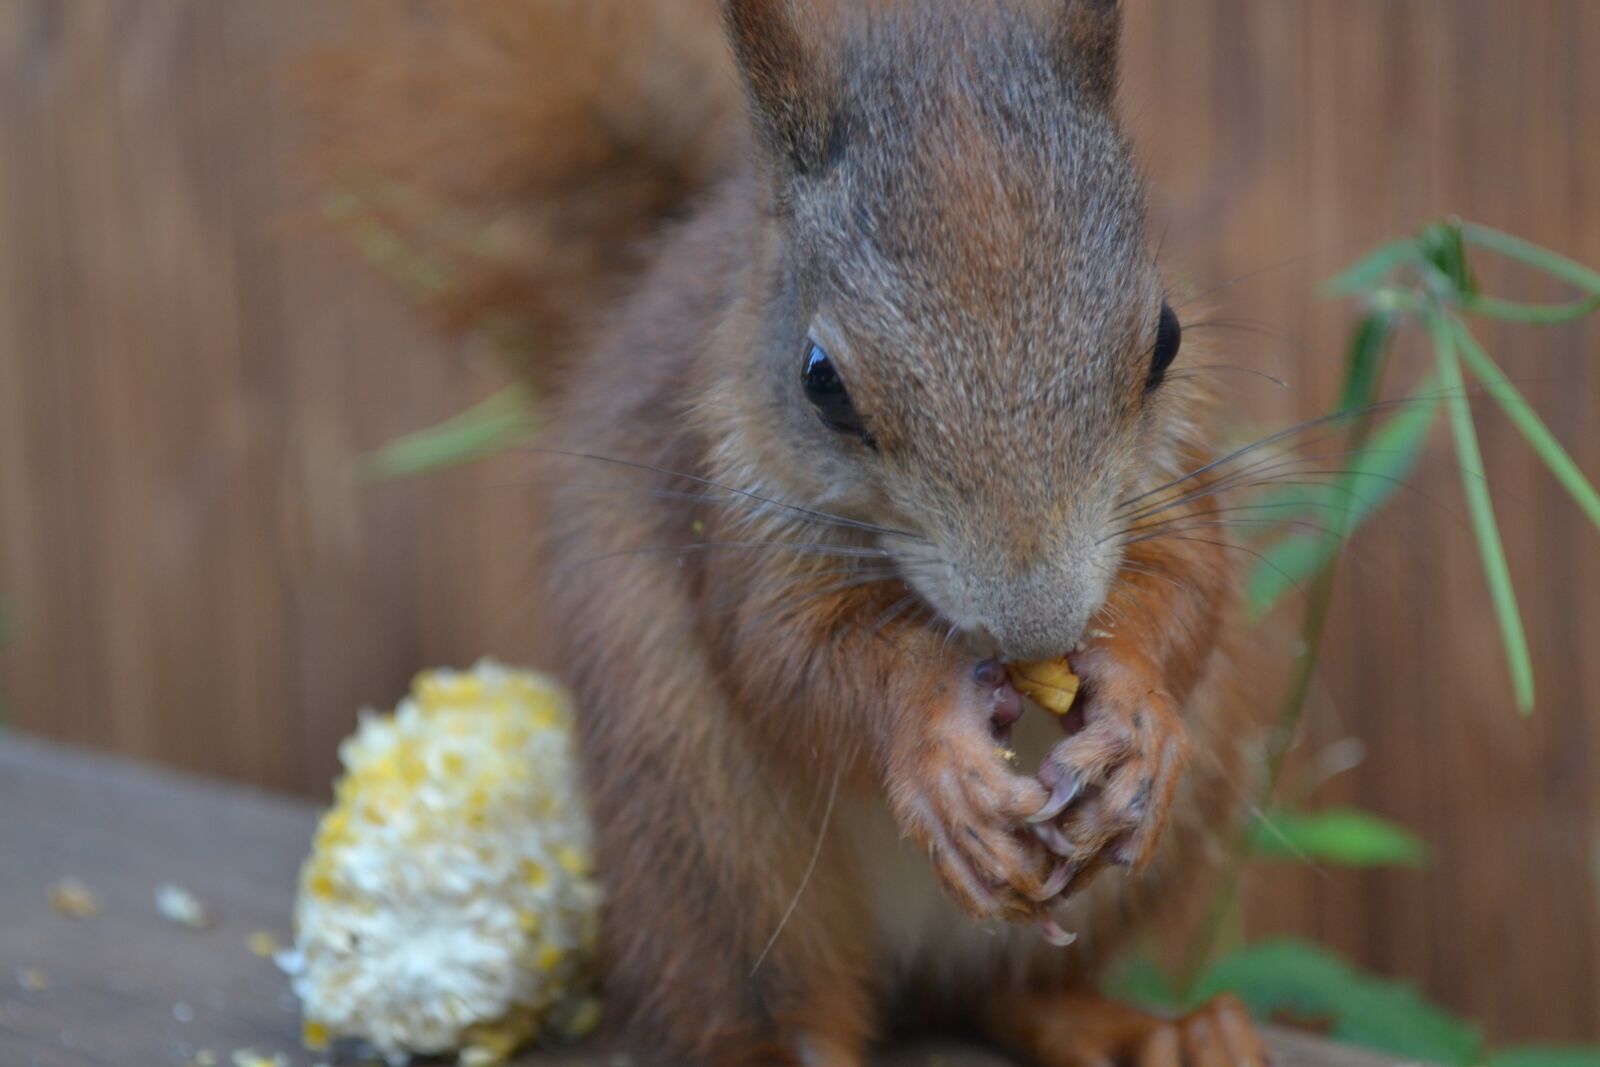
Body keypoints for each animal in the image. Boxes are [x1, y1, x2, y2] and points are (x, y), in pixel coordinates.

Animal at [307, 1, 1267, 1064]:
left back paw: (1146, 1029)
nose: (1039, 626)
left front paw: (1134, 708)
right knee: (774, 997)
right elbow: (786, 663)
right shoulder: (737, 510)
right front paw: (933, 738)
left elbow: (1193, 586)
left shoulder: (1168, 480)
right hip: (704, 829)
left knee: (1013, 989)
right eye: (822, 381)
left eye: (1167, 338)